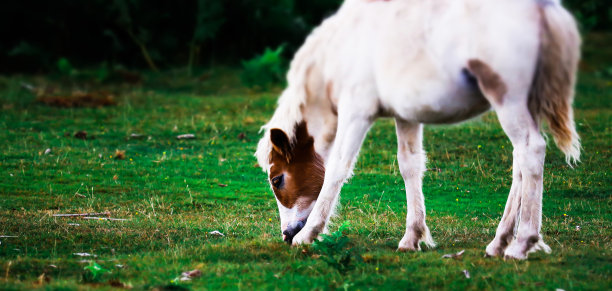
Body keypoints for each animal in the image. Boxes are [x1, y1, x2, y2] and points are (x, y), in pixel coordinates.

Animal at [256, 0, 580, 260]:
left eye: (277, 179)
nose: (287, 234)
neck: (341, 49)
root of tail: (543, 8)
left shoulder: (357, 112)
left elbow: (337, 169)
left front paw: (308, 235)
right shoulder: (406, 116)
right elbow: (410, 166)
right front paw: (412, 237)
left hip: (508, 100)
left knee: (531, 150)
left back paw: (522, 243)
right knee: (519, 163)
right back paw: (499, 242)